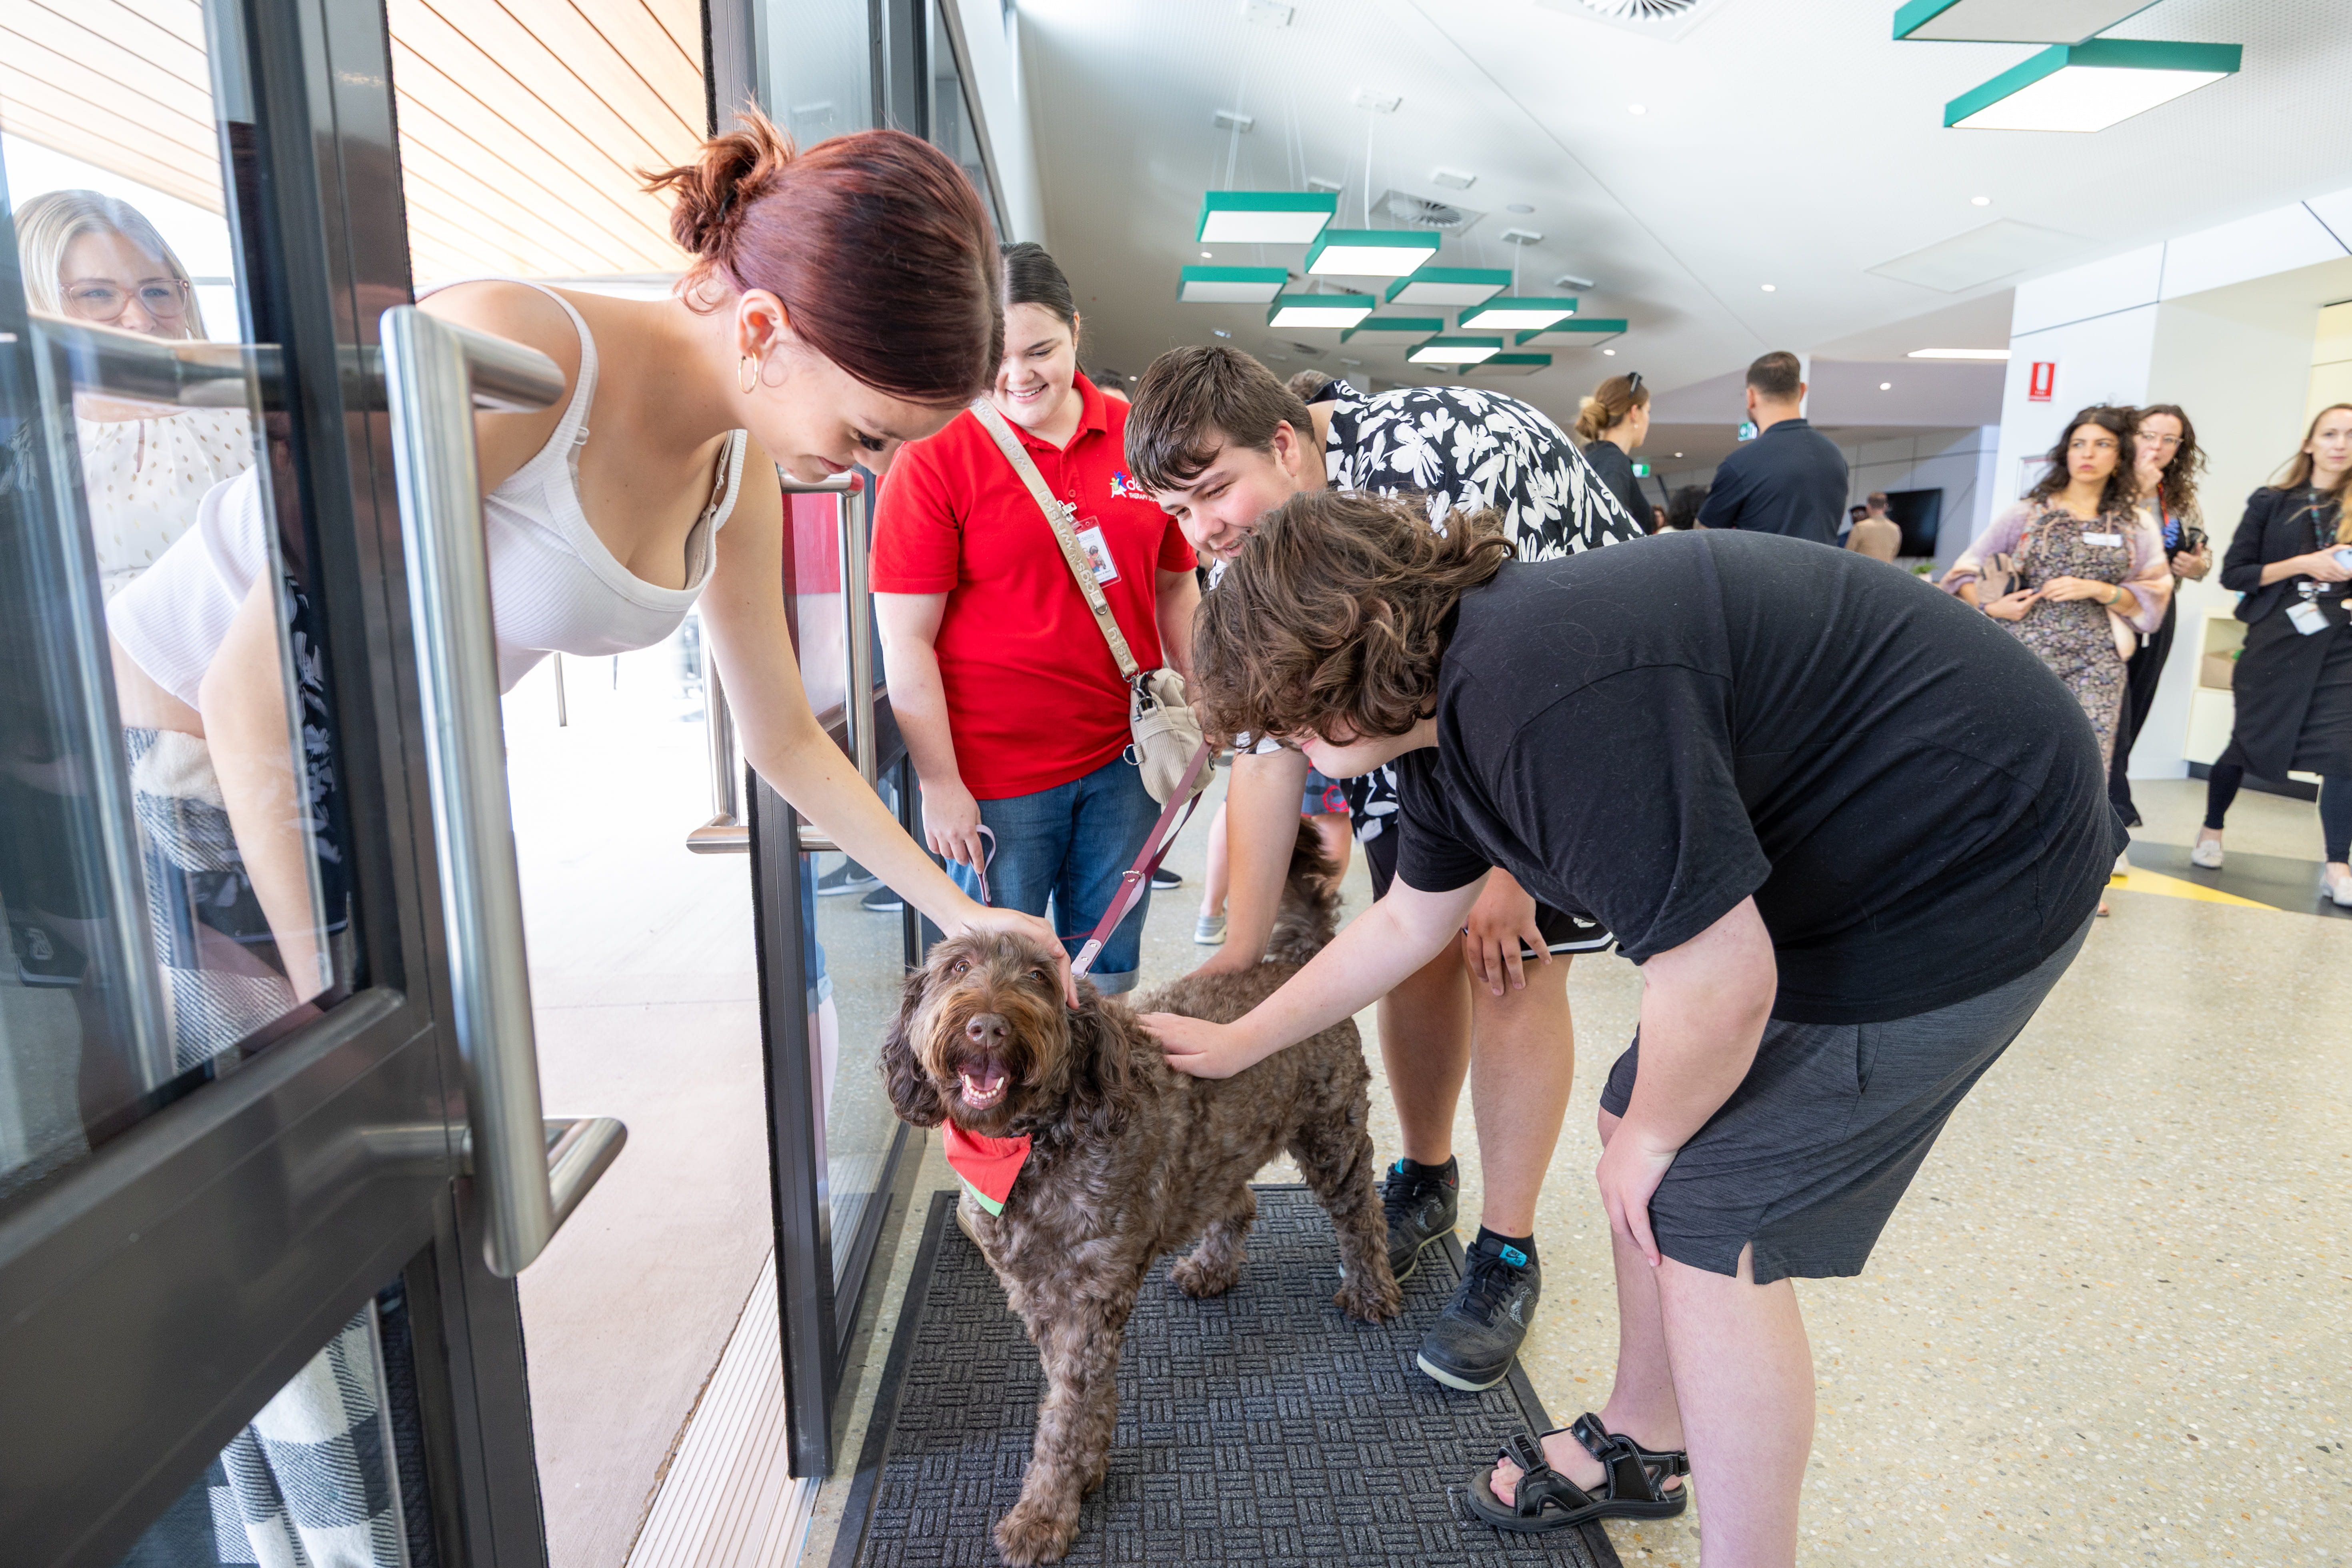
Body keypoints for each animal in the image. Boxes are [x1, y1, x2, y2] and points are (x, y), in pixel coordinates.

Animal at [884, 827, 1392, 1561]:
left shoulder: (1089, 1298)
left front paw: (1046, 1510)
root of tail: (1296, 960)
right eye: (957, 968)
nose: (986, 1025)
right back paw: (1212, 1267)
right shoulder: (1038, 1295)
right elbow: (1076, 1397)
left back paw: (1371, 1289)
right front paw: (1088, 1469)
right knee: (1238, 1202)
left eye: (1040, 978)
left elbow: (1065, 1414)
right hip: (1222, 1153)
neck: (1033, 1147)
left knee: (1361, 1210)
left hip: (1334, 1133)